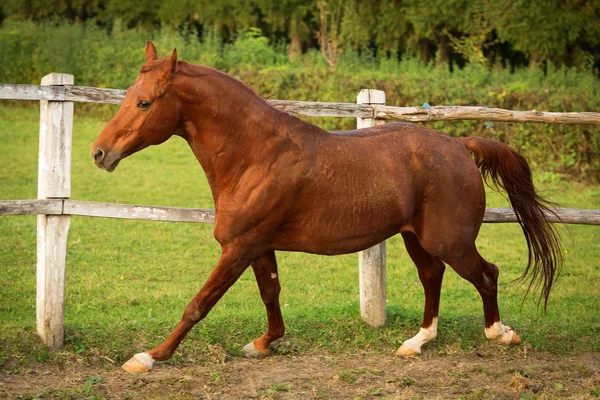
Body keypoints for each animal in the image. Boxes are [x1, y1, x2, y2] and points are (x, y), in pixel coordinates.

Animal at [91, 42, 560, 374]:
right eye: (129, 96)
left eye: (144, 102)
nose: (99, 153)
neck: (255, 156)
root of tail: (461, 146)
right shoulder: (258, 246)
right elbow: (271, 293)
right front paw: (262, 344)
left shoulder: (239, 247)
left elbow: (199, 303)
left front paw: (148, 357)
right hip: (417, 238)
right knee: (433, 277)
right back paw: (416, 343)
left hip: (450, 240)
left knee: (486, 274)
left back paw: (501, 333)